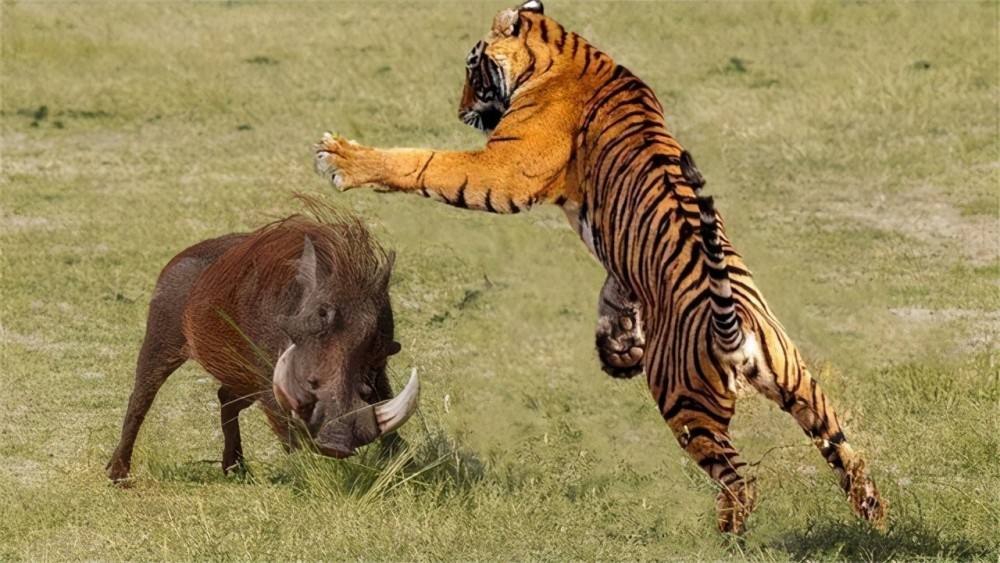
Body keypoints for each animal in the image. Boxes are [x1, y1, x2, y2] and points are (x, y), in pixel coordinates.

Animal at [312, 0, 886, 534]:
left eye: (472, 72)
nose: (459, 111)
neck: (565, 52)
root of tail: (734, 330)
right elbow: (614, 292)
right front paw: (618, 344)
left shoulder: (502, 172)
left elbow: (426, 163)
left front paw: (340, 159)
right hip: (803, 387)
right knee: (846, 453)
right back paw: (875, 520)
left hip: (685, 404)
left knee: (740, 480)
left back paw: (728, 535)